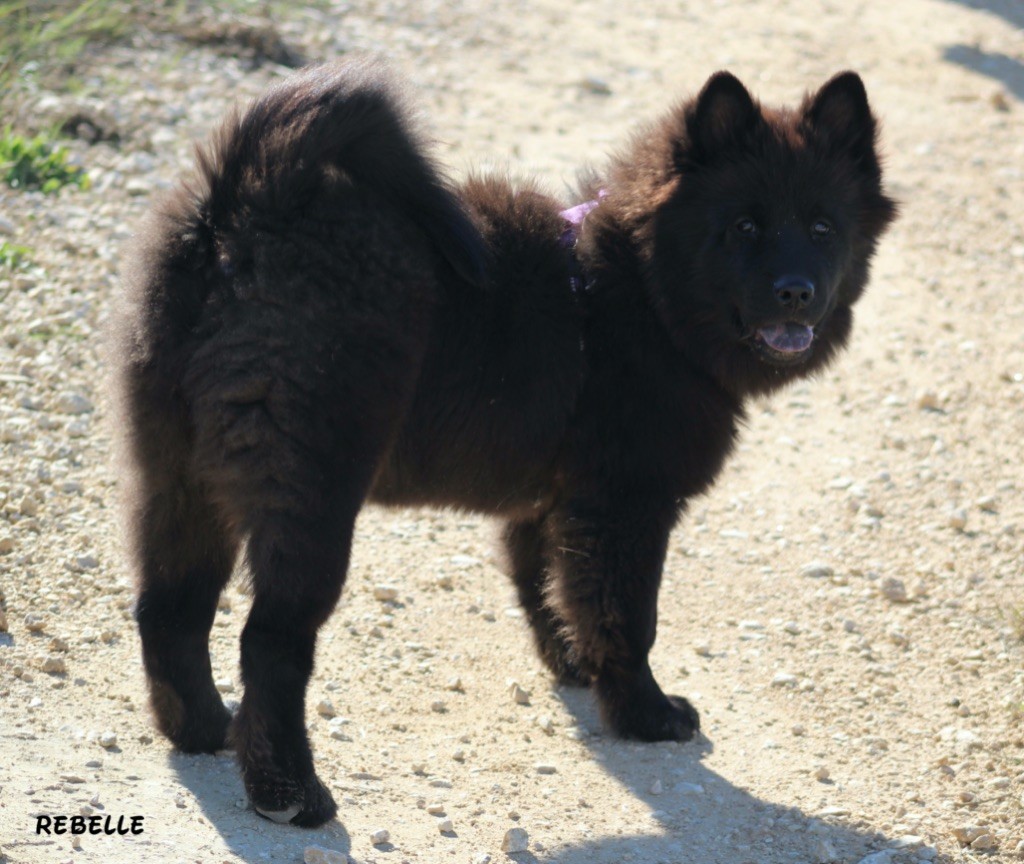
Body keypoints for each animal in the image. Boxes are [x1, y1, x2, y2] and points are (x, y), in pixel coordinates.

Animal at [114, 57, 897, 827]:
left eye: (822, 226)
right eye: (743, 226)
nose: (796, 292)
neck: (642, 293)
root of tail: (243, 214)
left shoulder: (552, 503)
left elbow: (548, 587)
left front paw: (576, 665)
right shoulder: (624, 504)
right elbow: (627, 618)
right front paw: (646, 715)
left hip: (179, 475)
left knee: (169, 610)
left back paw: (204, 730)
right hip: (309, 491)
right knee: (269, 643)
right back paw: (290, 794)